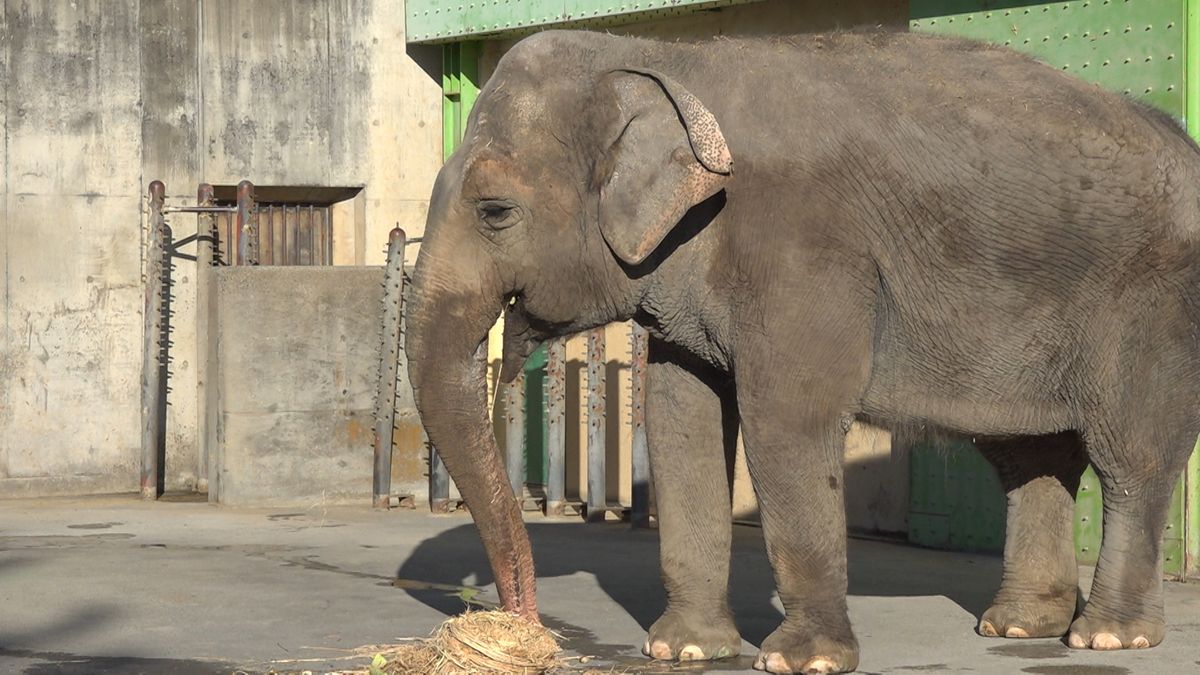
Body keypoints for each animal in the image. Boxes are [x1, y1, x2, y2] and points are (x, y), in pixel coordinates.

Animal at [400, 27, 1200, 672]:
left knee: (1130, 457)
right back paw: (1019, 626)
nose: (522, 625)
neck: (668, 59)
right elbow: (681, 417)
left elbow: (787, 419)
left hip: (1153, 306)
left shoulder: (804, 248)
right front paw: (682, 650)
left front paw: (801, 662)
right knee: (1028, 453)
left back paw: (1107, 638)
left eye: (495, 211)